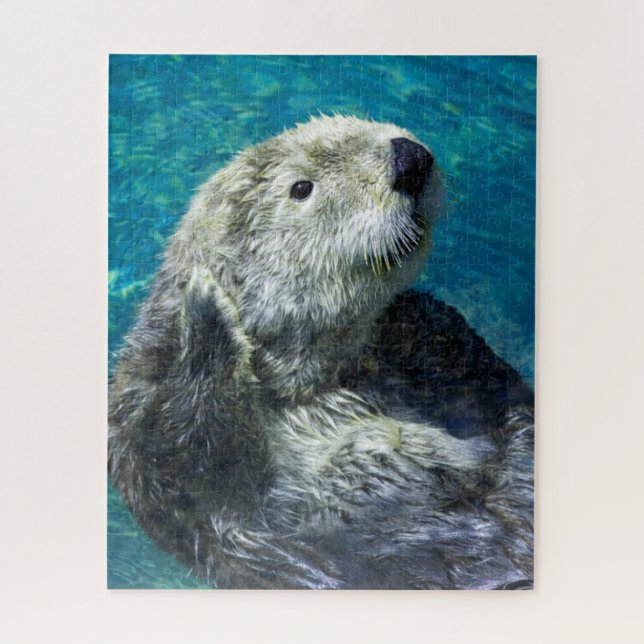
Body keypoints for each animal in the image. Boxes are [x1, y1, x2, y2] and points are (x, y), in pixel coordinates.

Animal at [108, 115, 534, 589]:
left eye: (361, 122)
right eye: (301, 188)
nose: (408, 157)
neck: (320, 385)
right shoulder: (157, 459)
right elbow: (197, 457)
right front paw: (206, 308)